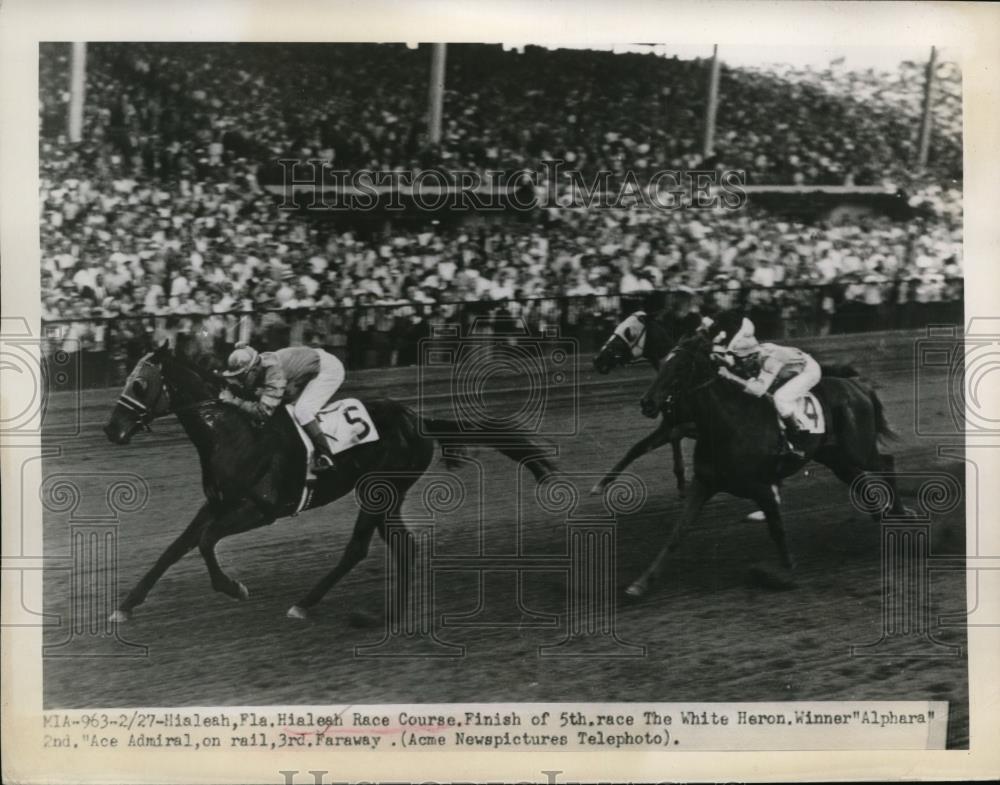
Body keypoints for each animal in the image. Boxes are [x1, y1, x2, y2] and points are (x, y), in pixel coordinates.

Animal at [105, 346, 560, 620]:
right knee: (404, 546)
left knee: (357, 549)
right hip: (386, 494)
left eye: (140, 383)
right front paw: (125, 606)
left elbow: (204, 542)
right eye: (125, 380)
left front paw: (232, 587)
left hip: (380, 491)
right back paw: (390, 612)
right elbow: (175, 547)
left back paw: (308, 605)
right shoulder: (216, 504)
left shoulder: (260, 510)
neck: (233, 433)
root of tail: (416, 419)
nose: (111, 430)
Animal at [632, 328, 908, 596]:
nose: (647, 403)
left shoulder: (762, 487)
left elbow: (776, 529)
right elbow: (677, 532)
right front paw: (641, 583)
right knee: (858, 478)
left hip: (857, 449)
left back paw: (900, 513)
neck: (728, 424)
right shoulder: (704, 482)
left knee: (886, 462)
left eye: (679, 367)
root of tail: (857, 386)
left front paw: (785, 574)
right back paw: (881, 514)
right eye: (663, 363)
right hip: (834, 457)